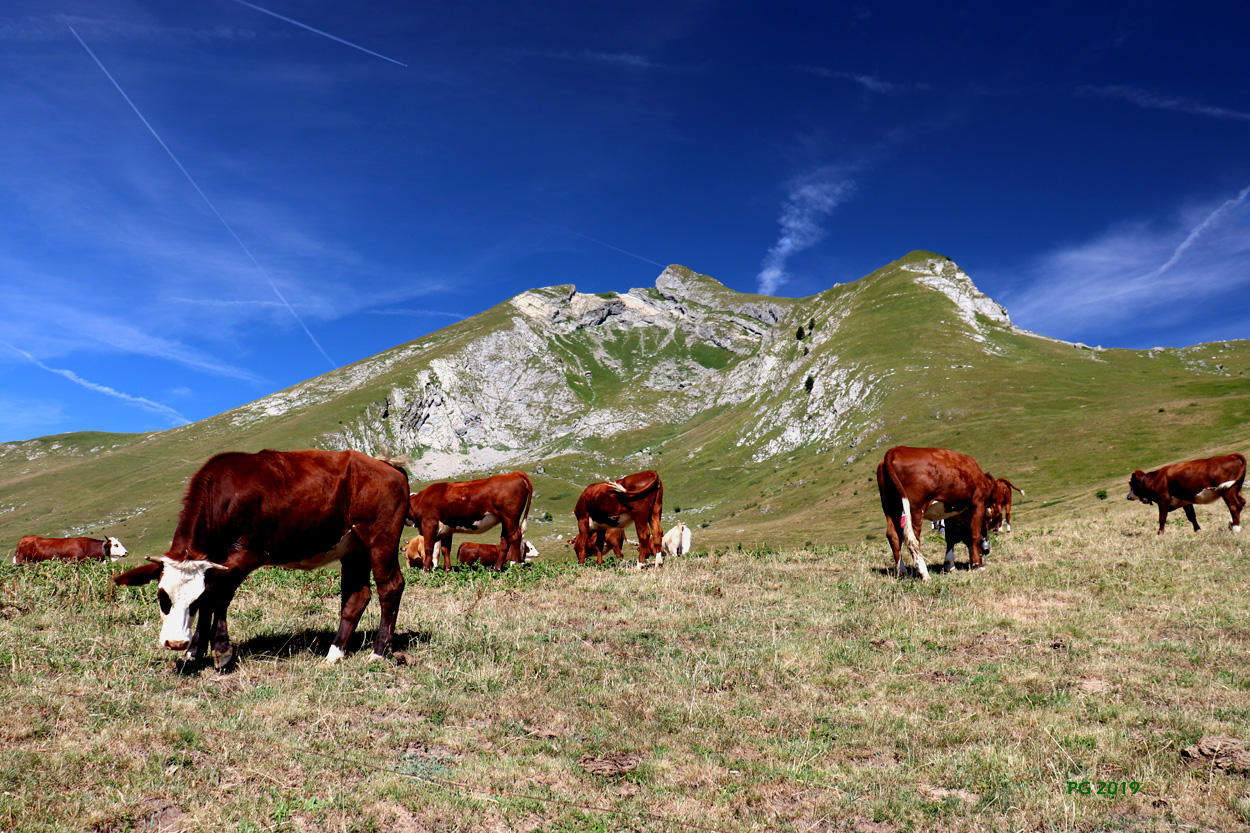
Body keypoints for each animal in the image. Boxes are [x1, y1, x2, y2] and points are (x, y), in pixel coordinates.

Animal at [880, 440, 995, 577]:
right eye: (988, 517)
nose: (987, 550)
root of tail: (895, 451)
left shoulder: (953, 511)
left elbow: (951, 536)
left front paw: (950, 565)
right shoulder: (978, 502)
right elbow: (974, 533)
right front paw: (978, 564)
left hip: (890, 509)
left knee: (893, 535)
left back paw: (902, 572)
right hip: (915, 509)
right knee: (913, 538)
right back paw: (924, 573)